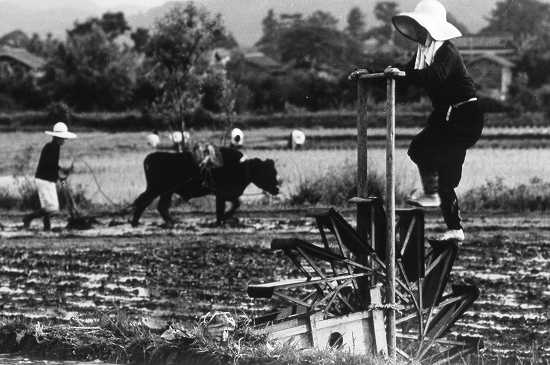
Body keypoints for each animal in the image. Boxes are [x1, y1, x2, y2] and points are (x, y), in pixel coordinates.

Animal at [132, 149, 282, 226]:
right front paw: (221, 220)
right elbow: (223, 208)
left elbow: (236, 204)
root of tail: (151, 157)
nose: (277, 189)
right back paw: (135, 222)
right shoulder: (221, 194)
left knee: (161, 206)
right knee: (143, 201)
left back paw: (172, 221)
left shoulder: (228, 194)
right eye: (268, 172)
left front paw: (224, 219)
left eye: (274, 171)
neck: (242, 167)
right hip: (156, 189)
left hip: (166, 191)